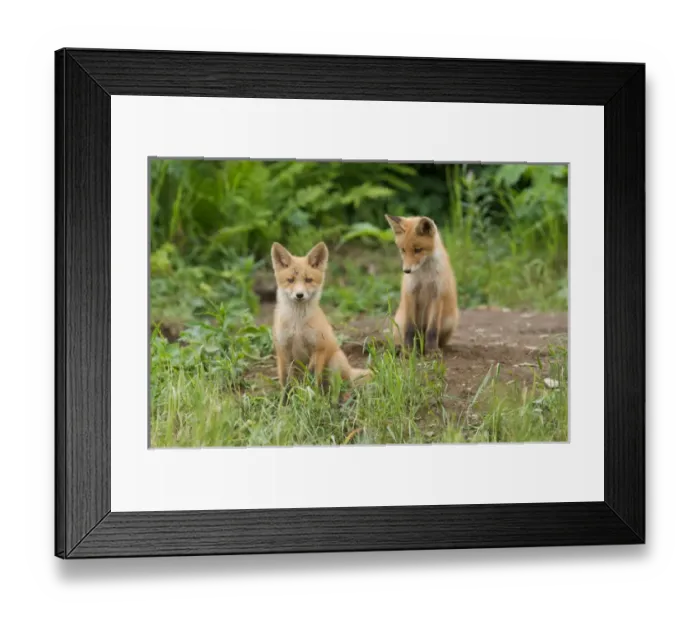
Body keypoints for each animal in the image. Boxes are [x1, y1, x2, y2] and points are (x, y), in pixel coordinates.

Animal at [270, 241, 371, 403]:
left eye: (308, 280)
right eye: (290, 280)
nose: (299, 295)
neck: (297, 325)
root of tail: (349, 369)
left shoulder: (319, 348)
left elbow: (313, 379)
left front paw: (314, 400)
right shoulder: (284, 350)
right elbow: (287, 383)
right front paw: (284, 403)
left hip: (334, 363)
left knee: (337, 388)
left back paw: (334, 401)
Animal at [384, 214, 459, 353]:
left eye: (418, 250)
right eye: (403, 250)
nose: (406, 271)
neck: (425, 277)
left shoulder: (437, 295)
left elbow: (432, 329)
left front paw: (432, 351)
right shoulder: (410, 292)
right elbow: (409, 328)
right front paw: (408, 350)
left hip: (449, 321)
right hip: (399, 321)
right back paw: (402, 347)